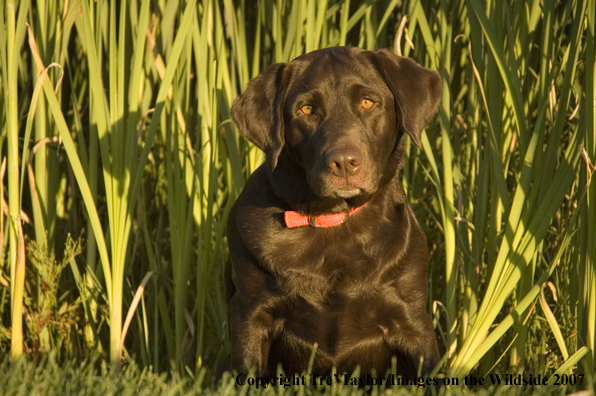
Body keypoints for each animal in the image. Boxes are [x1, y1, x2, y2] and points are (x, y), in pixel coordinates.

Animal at [220, 47, 442, 380]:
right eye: (306, 110)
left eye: (368, 102)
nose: (344, 162)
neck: (332, 220)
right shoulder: (250, 314)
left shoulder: (413, 320)